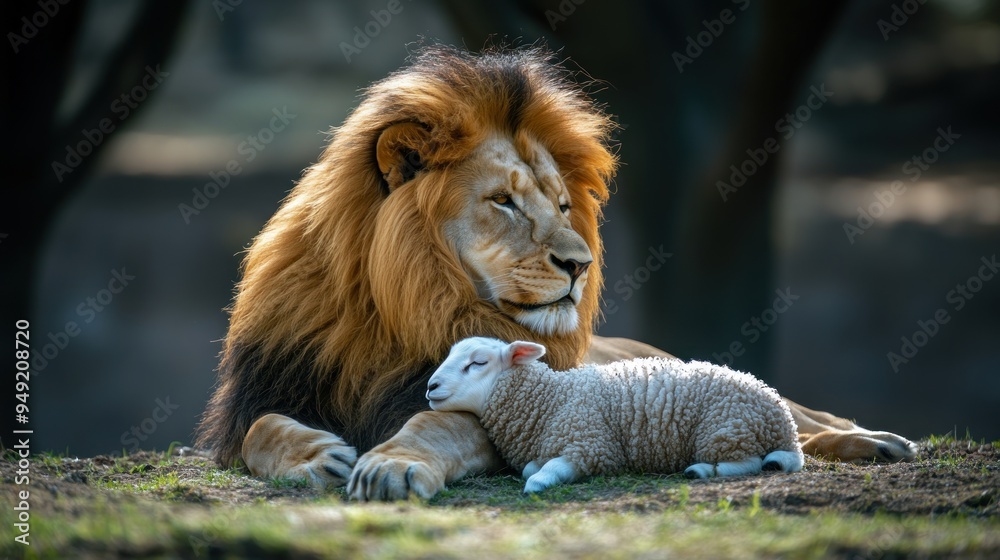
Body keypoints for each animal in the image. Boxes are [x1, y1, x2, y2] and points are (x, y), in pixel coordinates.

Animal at [426, 337, 804, 493]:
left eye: (478, 362)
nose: (430, 386)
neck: (552, 398)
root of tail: (785, 423)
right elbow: (533, 465)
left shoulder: (591, 444)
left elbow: (545, 471)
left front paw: (540, 483)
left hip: (726, 427)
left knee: (748, 463)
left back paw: (702, 470)